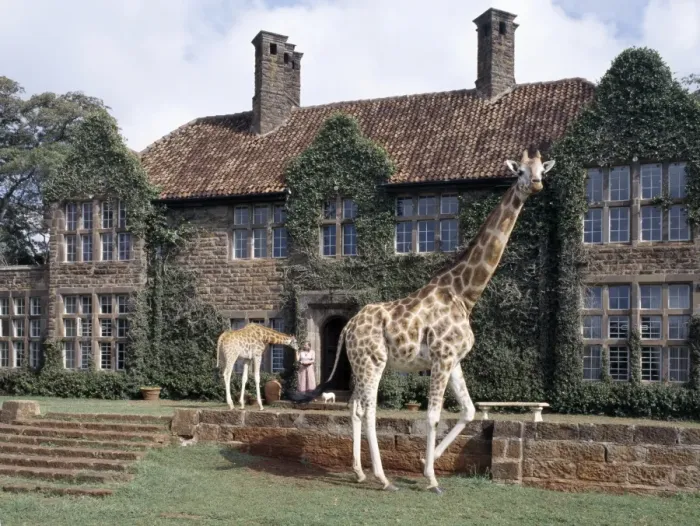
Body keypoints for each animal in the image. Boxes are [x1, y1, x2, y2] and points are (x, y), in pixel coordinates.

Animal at [289, 150, 555, 492]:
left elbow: (469, 411)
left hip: (362, 364)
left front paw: (424, 462)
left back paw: (359, 472)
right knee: (370, 411)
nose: (535, 184)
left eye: (541, 170)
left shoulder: (453, 360)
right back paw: (383, 478)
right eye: (520, 170)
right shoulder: (442, 357)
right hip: (372, 362)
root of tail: (348, 325)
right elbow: (432, 416)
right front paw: (431, 478)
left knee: (354, 408)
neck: (464, 294)